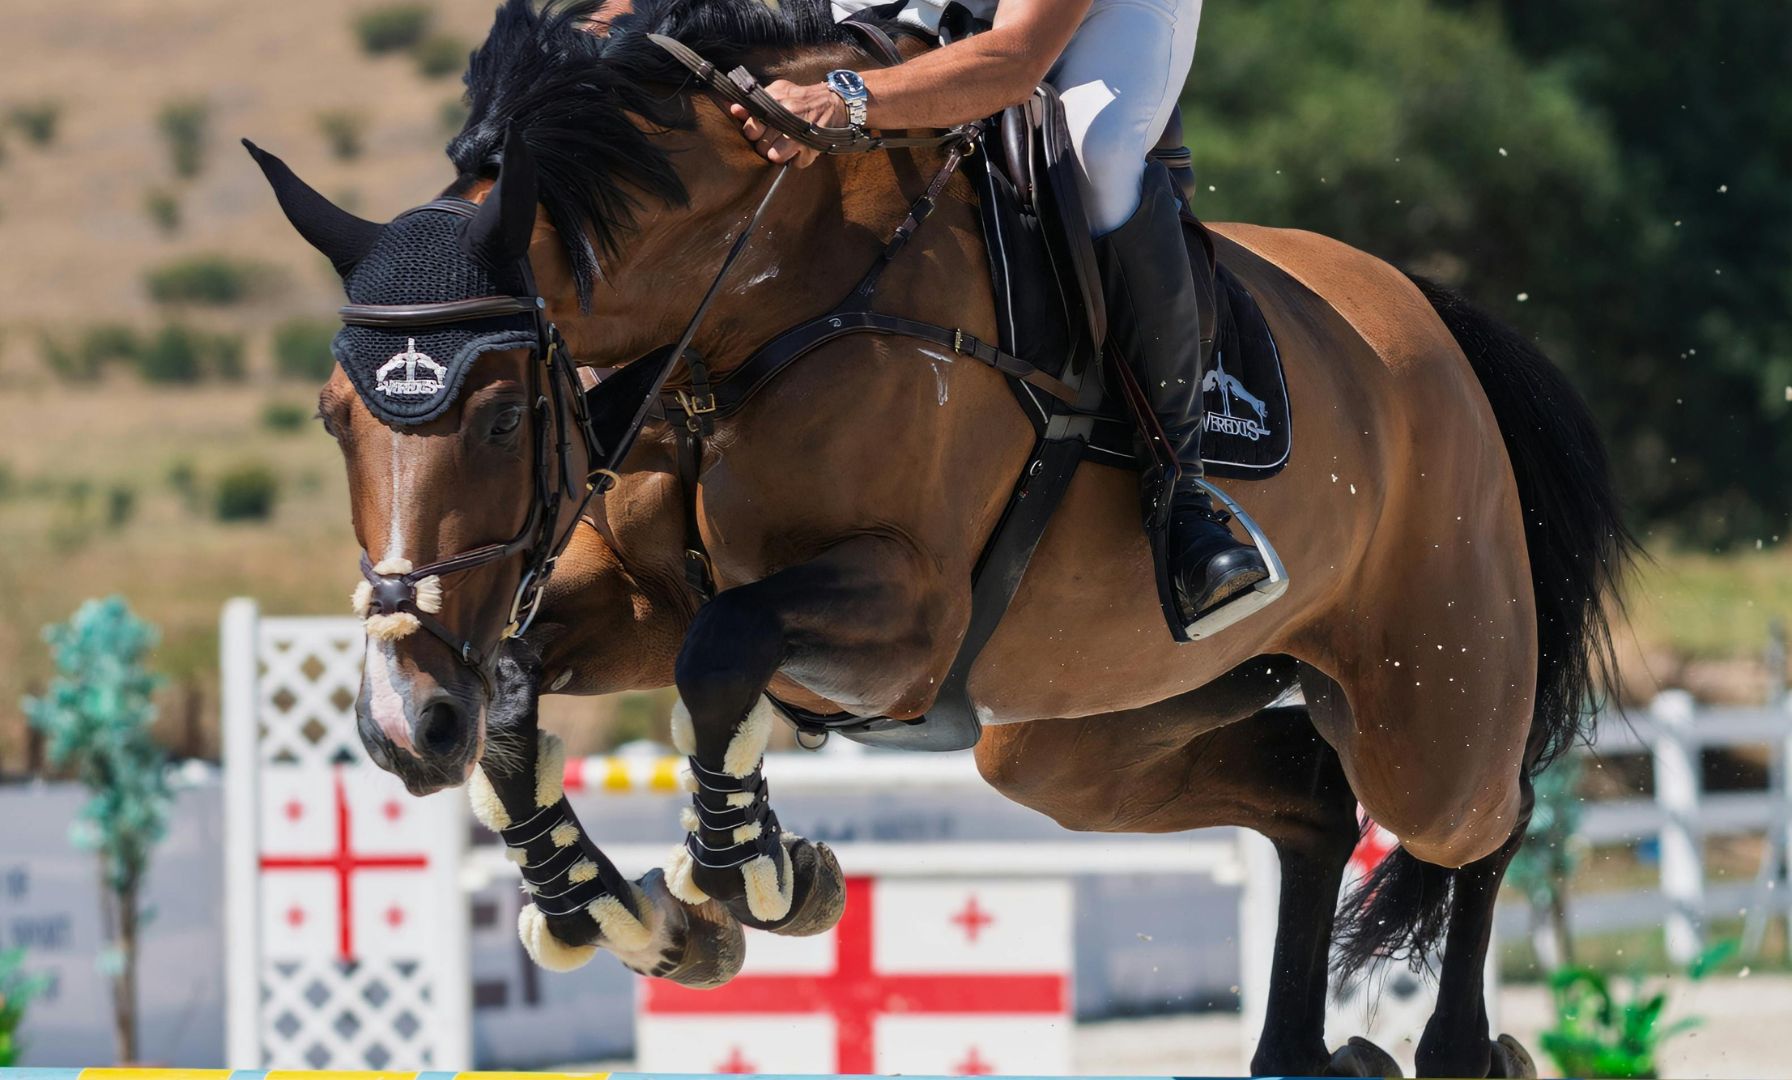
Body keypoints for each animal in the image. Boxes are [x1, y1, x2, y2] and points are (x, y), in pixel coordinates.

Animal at [250, 0, 1633, 1074]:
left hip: (1424, 710)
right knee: (1309, 803)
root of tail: (1431, 327)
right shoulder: (638, 595)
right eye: (331, 418)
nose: (403, 725)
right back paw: (1302, 1057)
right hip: (1071, 744)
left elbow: (723, 649)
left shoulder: (908, 619)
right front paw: (615, 907)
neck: (755, 295)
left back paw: (1462, 1054)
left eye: (495, 416)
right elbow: (534, 686)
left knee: (1486, 812)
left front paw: (745, 878)